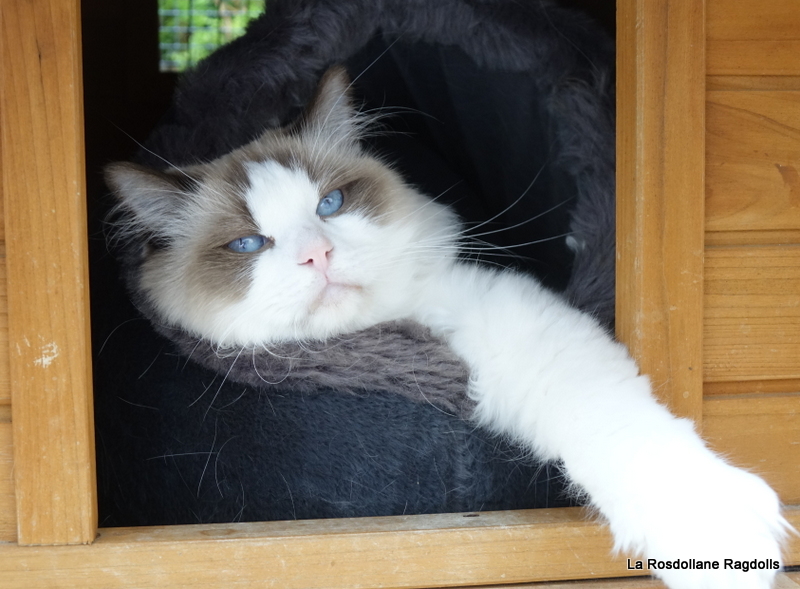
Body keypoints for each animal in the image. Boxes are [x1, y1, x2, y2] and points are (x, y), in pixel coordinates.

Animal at [104, 66, 788, 584]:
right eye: (247, 244)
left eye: (331, 205)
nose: (317, 255)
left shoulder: (508, 325)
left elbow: (622, 428)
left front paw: (719, 541)